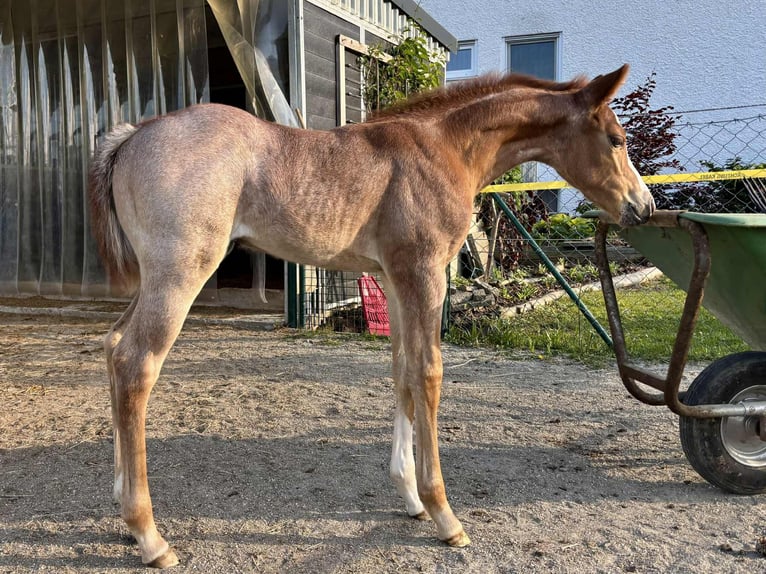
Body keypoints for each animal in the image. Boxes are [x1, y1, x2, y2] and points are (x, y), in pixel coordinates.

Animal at [88, 64, 654, 568]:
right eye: (616, 139)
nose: (643, 207)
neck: (445, 147)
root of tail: (132, 136)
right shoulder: (425, 274)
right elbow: (428, 374)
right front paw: (444, 513)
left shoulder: (394, 280)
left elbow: (401, 373)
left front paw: (411, 498)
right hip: (180, 274)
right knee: (137, 364)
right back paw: (149, 536)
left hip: (154, 279)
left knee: (114, 347)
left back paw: (119, 500)